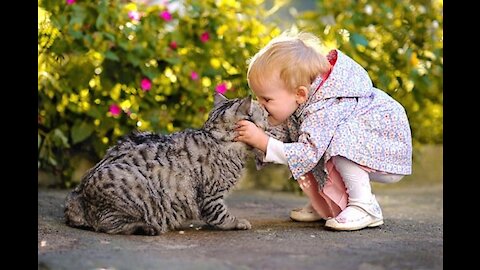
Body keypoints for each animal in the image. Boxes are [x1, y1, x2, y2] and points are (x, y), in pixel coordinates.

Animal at [62, 94, 270, 235]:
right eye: (264, 116)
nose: (270, 118)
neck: (215, 136)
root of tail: (78, 196)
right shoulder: (211, 196)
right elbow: (221, 216)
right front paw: (238, 222)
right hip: (132, 187)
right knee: (109, 225)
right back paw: (145, 227)